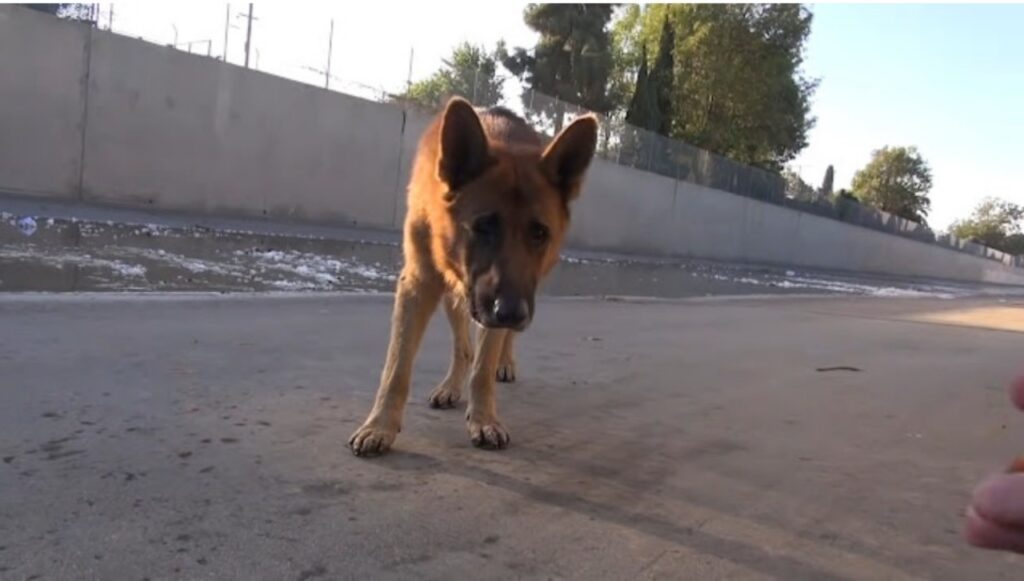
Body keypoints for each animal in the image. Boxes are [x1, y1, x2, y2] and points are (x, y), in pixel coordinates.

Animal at [348, 97, 598, 457]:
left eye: (539, 233)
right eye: (483, 226)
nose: (512, 313)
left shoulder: (499, 301)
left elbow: (483, 368)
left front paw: (483, 419)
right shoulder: (419, 285)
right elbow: (396, 368)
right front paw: (379, 425)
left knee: (494, 346)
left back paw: (504, 363)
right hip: (456, 296)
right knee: (463, 347)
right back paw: (452, 385)